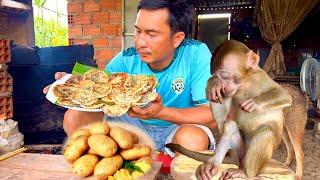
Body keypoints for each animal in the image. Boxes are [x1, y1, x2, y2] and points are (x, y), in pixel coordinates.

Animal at [166, 39, 294, 180]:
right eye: (220, 77)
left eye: (225, 76)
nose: (224, 87)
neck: (245, 83)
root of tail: (239, 160)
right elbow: (223, 117)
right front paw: (213, 83)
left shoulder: (260, 77)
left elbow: (285, 96)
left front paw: (253, 103)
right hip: (240, 151)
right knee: (230, 125)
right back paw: (213, 164)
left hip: (260, 161)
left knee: (265, 131)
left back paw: (246, 173)